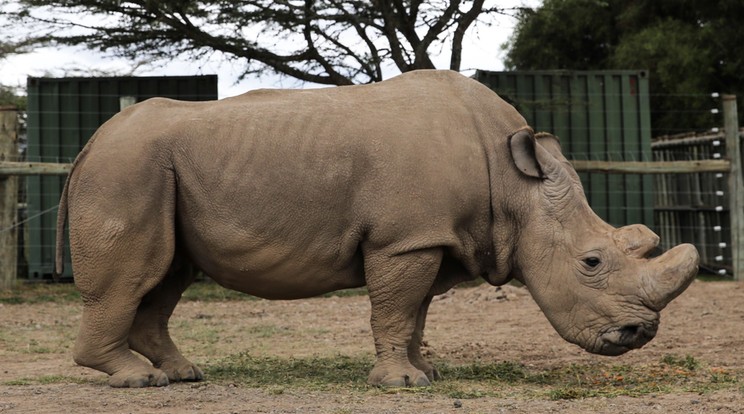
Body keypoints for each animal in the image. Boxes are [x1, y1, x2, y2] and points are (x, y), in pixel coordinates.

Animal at [55, 68, 700, 388]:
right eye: (592, 262)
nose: (639, 335)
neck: (516, 187)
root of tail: (86, 146)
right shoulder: (404, 238)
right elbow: (394, 309)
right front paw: (401, 384)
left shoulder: (432, 237)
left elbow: (414, 312)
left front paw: (426, 373)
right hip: (127, 168)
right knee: (135, 275)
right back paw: (137, 382)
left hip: (153, 170)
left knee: (167, 276)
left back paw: (184, 375)